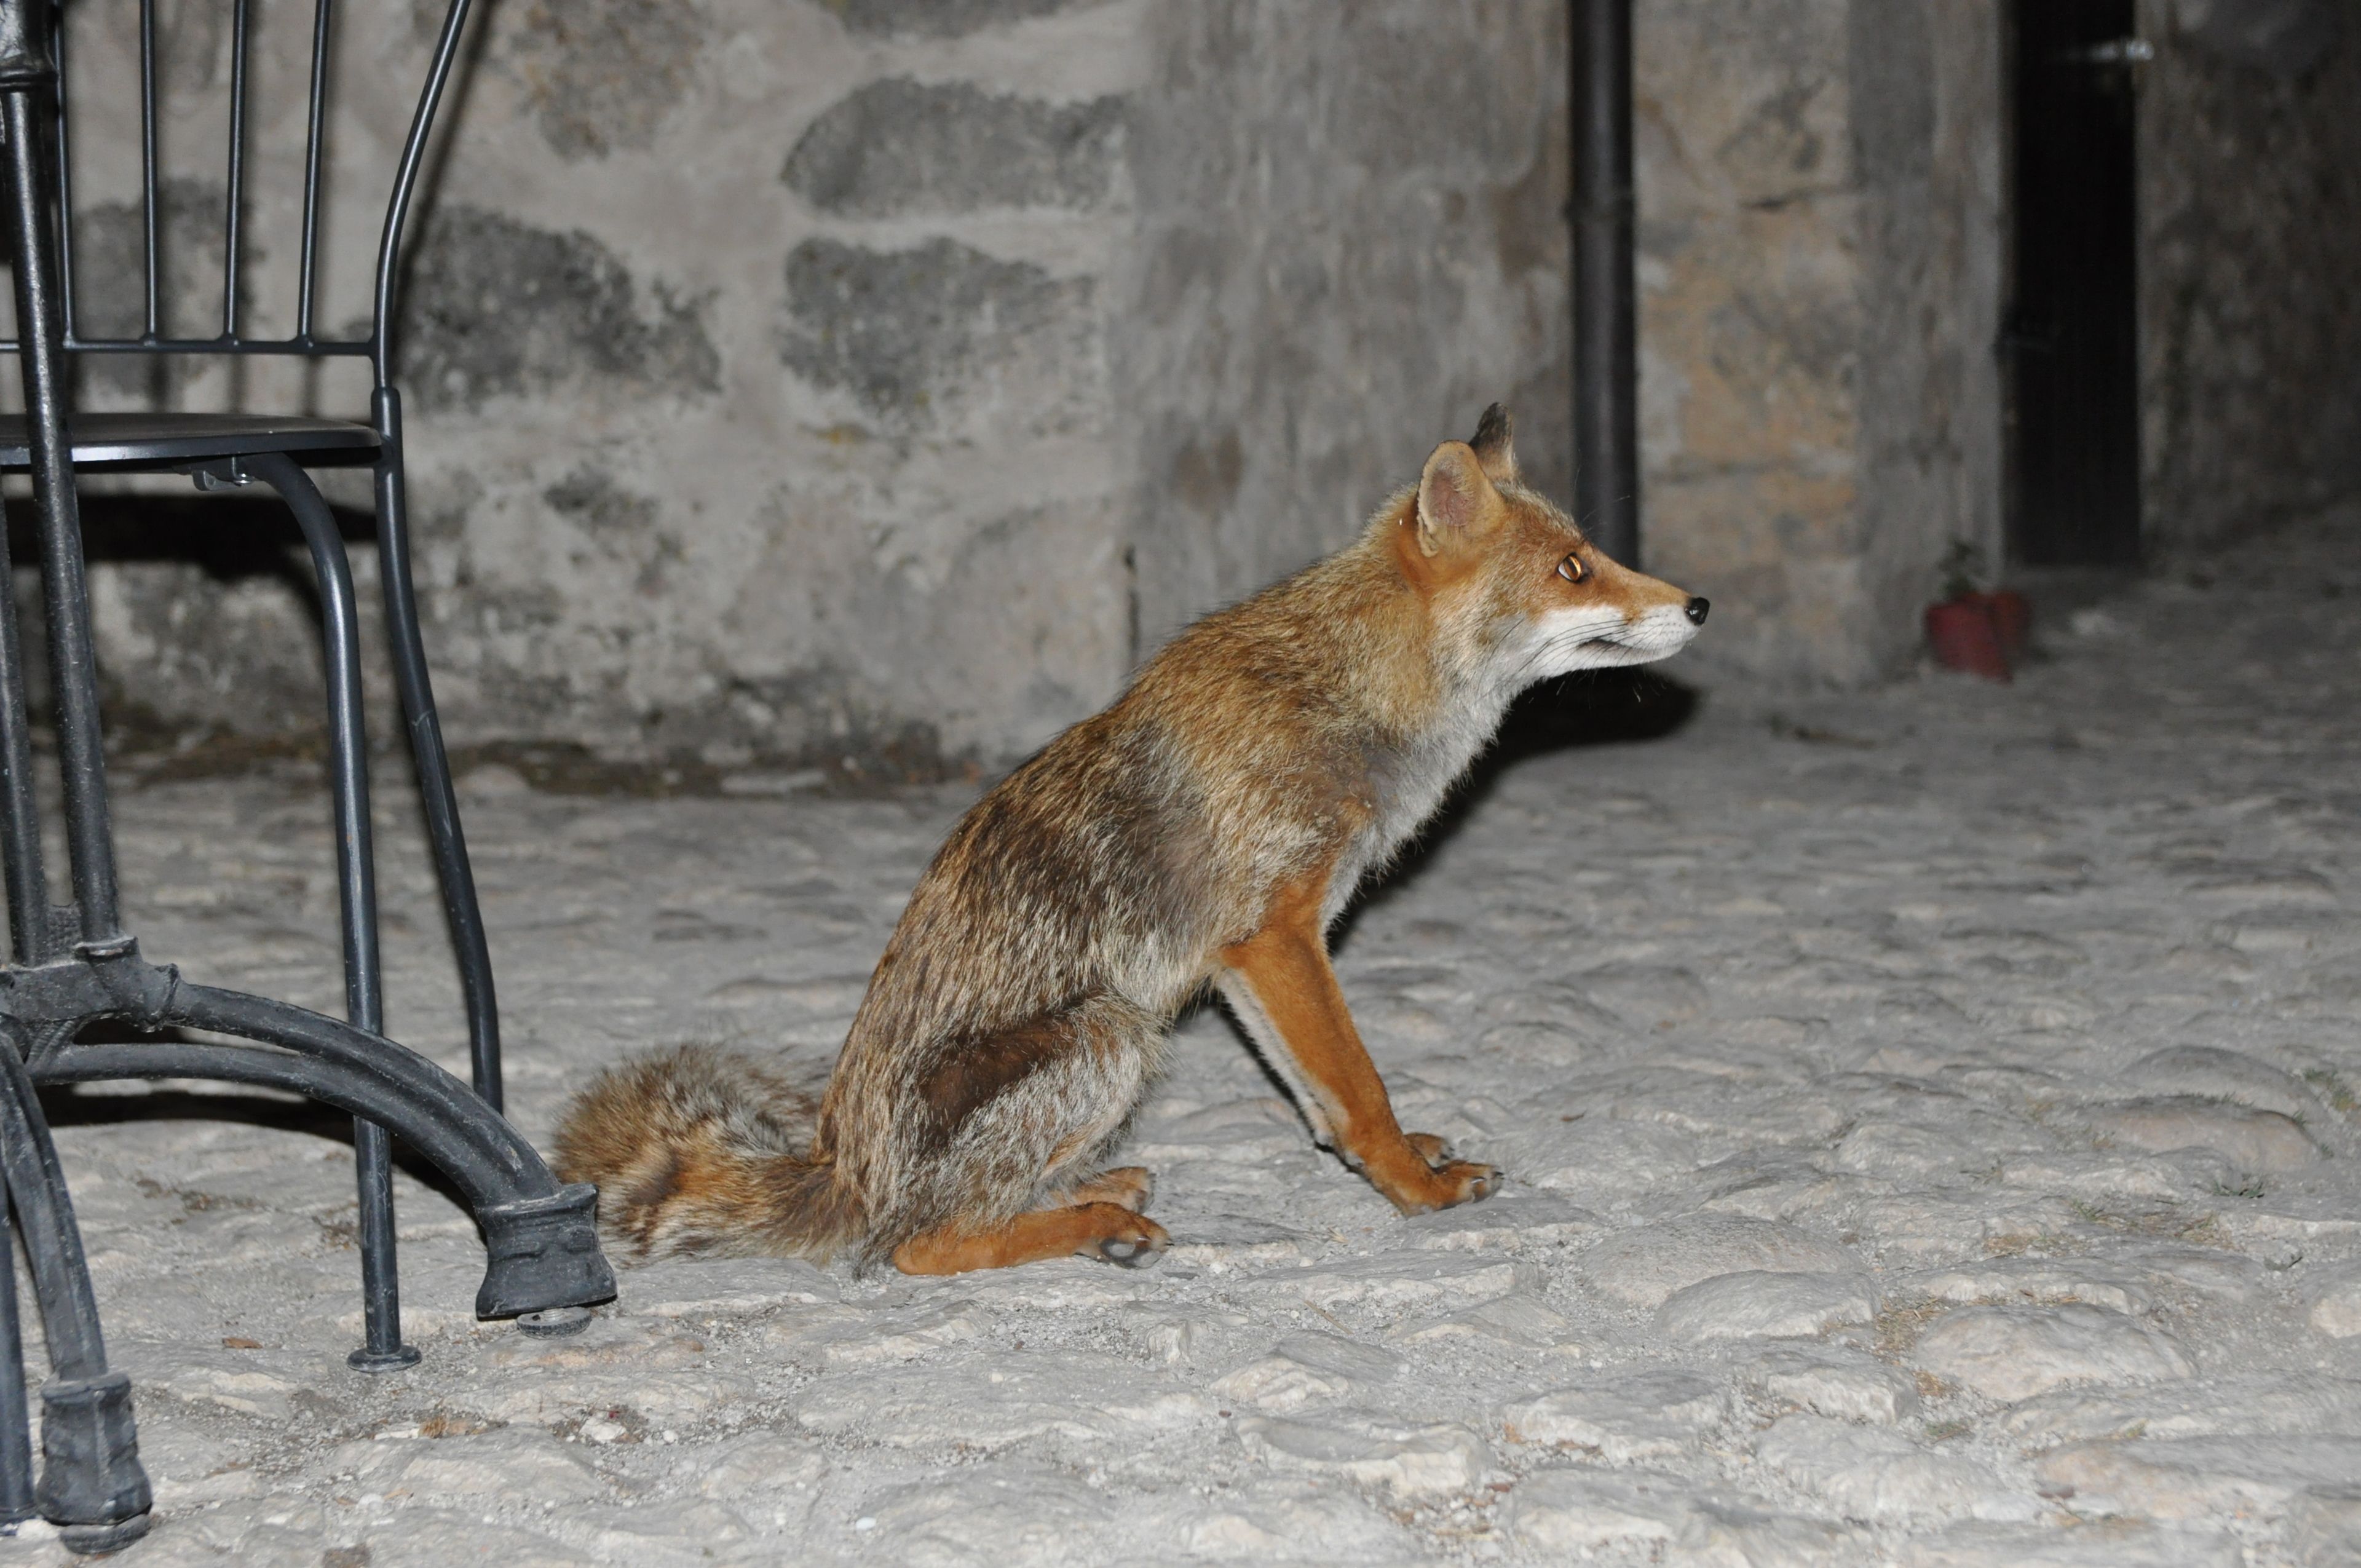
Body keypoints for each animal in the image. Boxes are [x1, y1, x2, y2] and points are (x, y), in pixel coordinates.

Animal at [554, 405, 1708, 1275]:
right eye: (1573, 569)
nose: (1698, 603)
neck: (1349, 699)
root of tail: (843, 1168)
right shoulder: (1278, 933)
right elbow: (1359, 1084)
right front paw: (1415, 1188)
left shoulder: (1249, 953)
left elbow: (1317, 1096)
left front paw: (1383, 1161)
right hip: (1111, 1033)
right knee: (910, 1245)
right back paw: (1088, 1224)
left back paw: (1087, 1186)